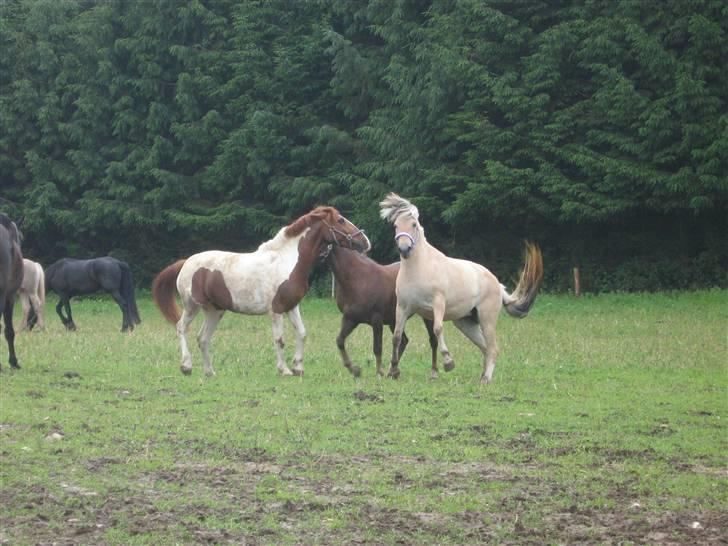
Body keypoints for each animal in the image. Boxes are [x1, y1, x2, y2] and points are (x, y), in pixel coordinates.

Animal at [152, 206, 370, 376]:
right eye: (340, 220)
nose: (366, 242)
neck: (287, 260)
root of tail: (186, 262)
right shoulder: (276, 310)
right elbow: (279, 340)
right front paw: (284, 370)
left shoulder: (292, 306)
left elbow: (301, 333)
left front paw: (298, 368)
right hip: (192, 306)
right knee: (181, 328)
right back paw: (186, 366)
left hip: (215, 311)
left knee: (202, 338)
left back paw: (210, 372)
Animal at [326, 243, 438, 376]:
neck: (358, 278)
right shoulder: (351, 319)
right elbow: (340, 340)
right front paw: (355, 370)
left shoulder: (377, 320)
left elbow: (377, 347)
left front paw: (379, 372)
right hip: (395, 321)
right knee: (403, 340)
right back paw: (393, 371)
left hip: (427, 316)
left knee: (433, 340)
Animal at [382, 193, 540, 384]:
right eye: (396, 226)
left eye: (413, 224)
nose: (404, 249)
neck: (419, 268)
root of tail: (497, 284)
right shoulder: (403, 308)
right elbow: (397, 336)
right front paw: (393, 371)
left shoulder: (437, 305)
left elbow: (438, 329)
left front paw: (448, 362)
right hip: (466, 323)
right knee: (485, 348)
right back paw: (482, 376)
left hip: (487, 320)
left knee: (493, 349)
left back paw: (486, 379)